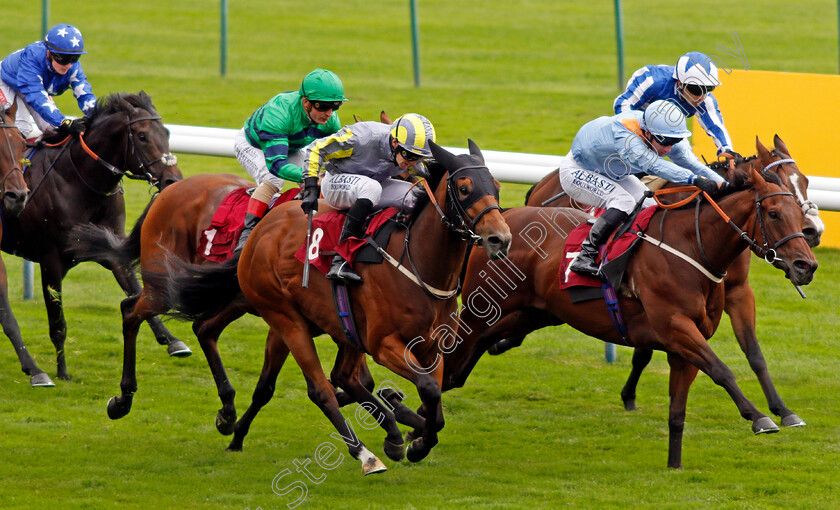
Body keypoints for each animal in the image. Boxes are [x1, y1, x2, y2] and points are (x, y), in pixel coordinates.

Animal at [0, 93, 184, 384]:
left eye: (166, 132)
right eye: (142, 136)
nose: (173, 179)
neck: (77, 180)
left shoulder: (111, 246)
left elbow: (136, 289)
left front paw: (173, 340)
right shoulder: (50, 260)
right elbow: (58, 321)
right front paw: (62, 370)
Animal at [161, 140, 508, 474]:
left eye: (496, 185)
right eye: (464, 187)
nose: (499, 238)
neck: (418, 264)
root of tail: (258, 231)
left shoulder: (431, 347)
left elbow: (434, 402)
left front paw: (415, 438)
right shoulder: (383, 345)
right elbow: (428, 388)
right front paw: (411, 438)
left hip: (334, 326)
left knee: (337, 376)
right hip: (286, 319)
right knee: (320, 389)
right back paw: (367, 455)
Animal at [442, 165, 816, 468]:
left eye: (799, 211)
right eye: (773, 213)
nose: (806, 265)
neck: (691, 248)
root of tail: (500, 223)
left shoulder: (687, 343)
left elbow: (680, 408)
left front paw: (675, 464)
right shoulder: (677, 328)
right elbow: (722, 371)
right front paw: (760, 418)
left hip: (532, 313)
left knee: (474, 354)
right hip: (482, 309)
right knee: (453, 346)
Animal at [492, 135, 820, 426]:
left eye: (805, 181)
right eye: (774, 212)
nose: (812, 237)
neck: (695, 240)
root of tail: (541, 184)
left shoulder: (737, 293)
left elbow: (755, 354)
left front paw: (783, 409)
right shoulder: (668, 313)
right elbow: (656, 353)